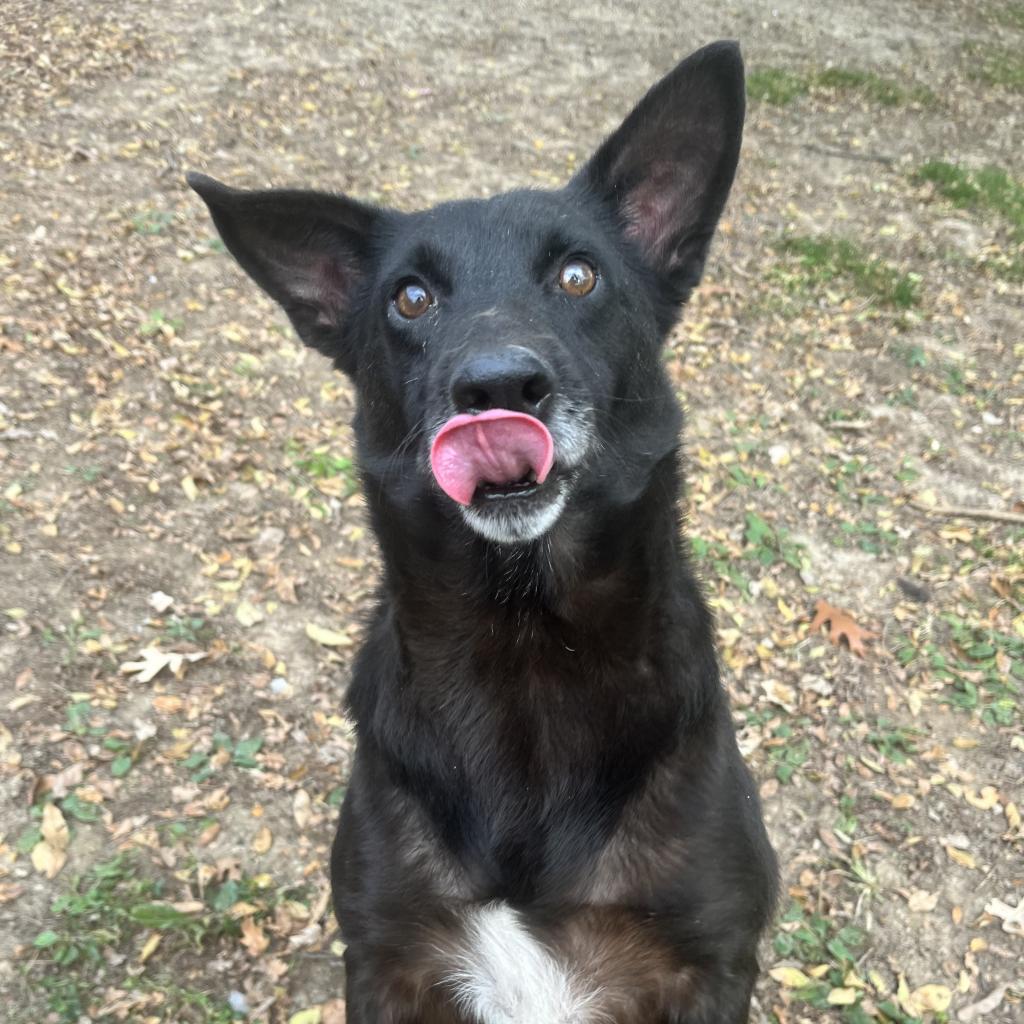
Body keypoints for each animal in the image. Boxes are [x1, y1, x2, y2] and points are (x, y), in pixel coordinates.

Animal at [190, 39, 774, 1024]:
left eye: (579, 276)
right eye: (411, 298)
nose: (498, 386)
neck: (522, 648)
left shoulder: (710, 966)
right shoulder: (388, 960)